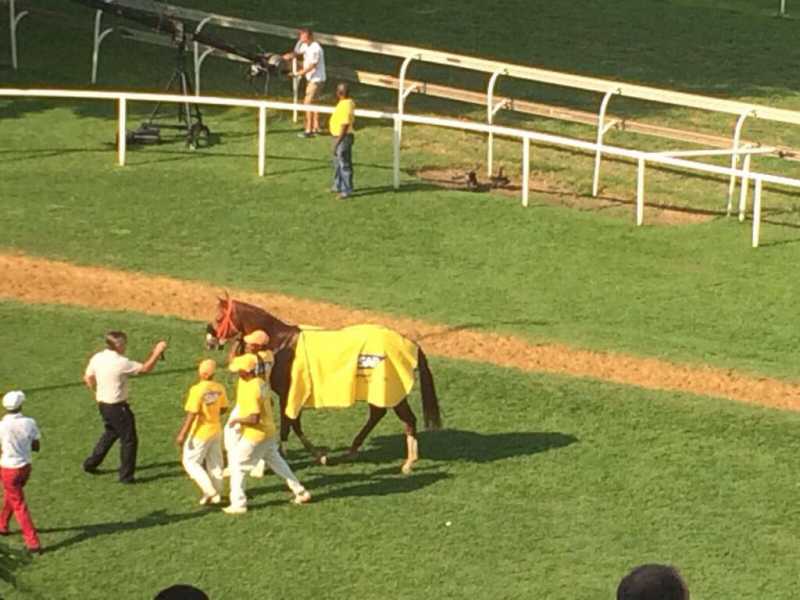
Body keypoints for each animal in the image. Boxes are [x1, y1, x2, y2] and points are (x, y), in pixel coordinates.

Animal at [205, 297, 442, 474]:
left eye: (218, 317)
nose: (209, 341)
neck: (281, 343)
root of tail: (411, 344)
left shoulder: (289, 393)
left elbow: (290, 424)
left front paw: (303, 456)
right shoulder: (288, 394)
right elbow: (294, 424)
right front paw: (317, 456)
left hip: (393, 392)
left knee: (407, 419)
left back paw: (409, 462)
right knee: (378, 413)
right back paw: (354, 449)